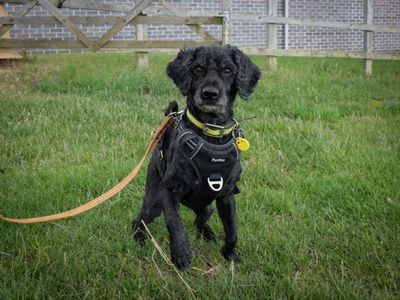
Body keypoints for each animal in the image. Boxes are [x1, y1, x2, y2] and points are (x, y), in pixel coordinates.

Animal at [133, 45, 260, 270]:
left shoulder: (227, 195)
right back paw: (139, 237)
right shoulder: (169, 190)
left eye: (228, 70)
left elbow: (232, 230)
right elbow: (174, 223)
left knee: (199, 220)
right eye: (197, 69)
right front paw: (181, 253)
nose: (210, 94)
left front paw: (230, 254)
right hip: (154, 201)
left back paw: (208, 234)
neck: (210, 132)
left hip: (207, 206)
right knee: (140, 220)